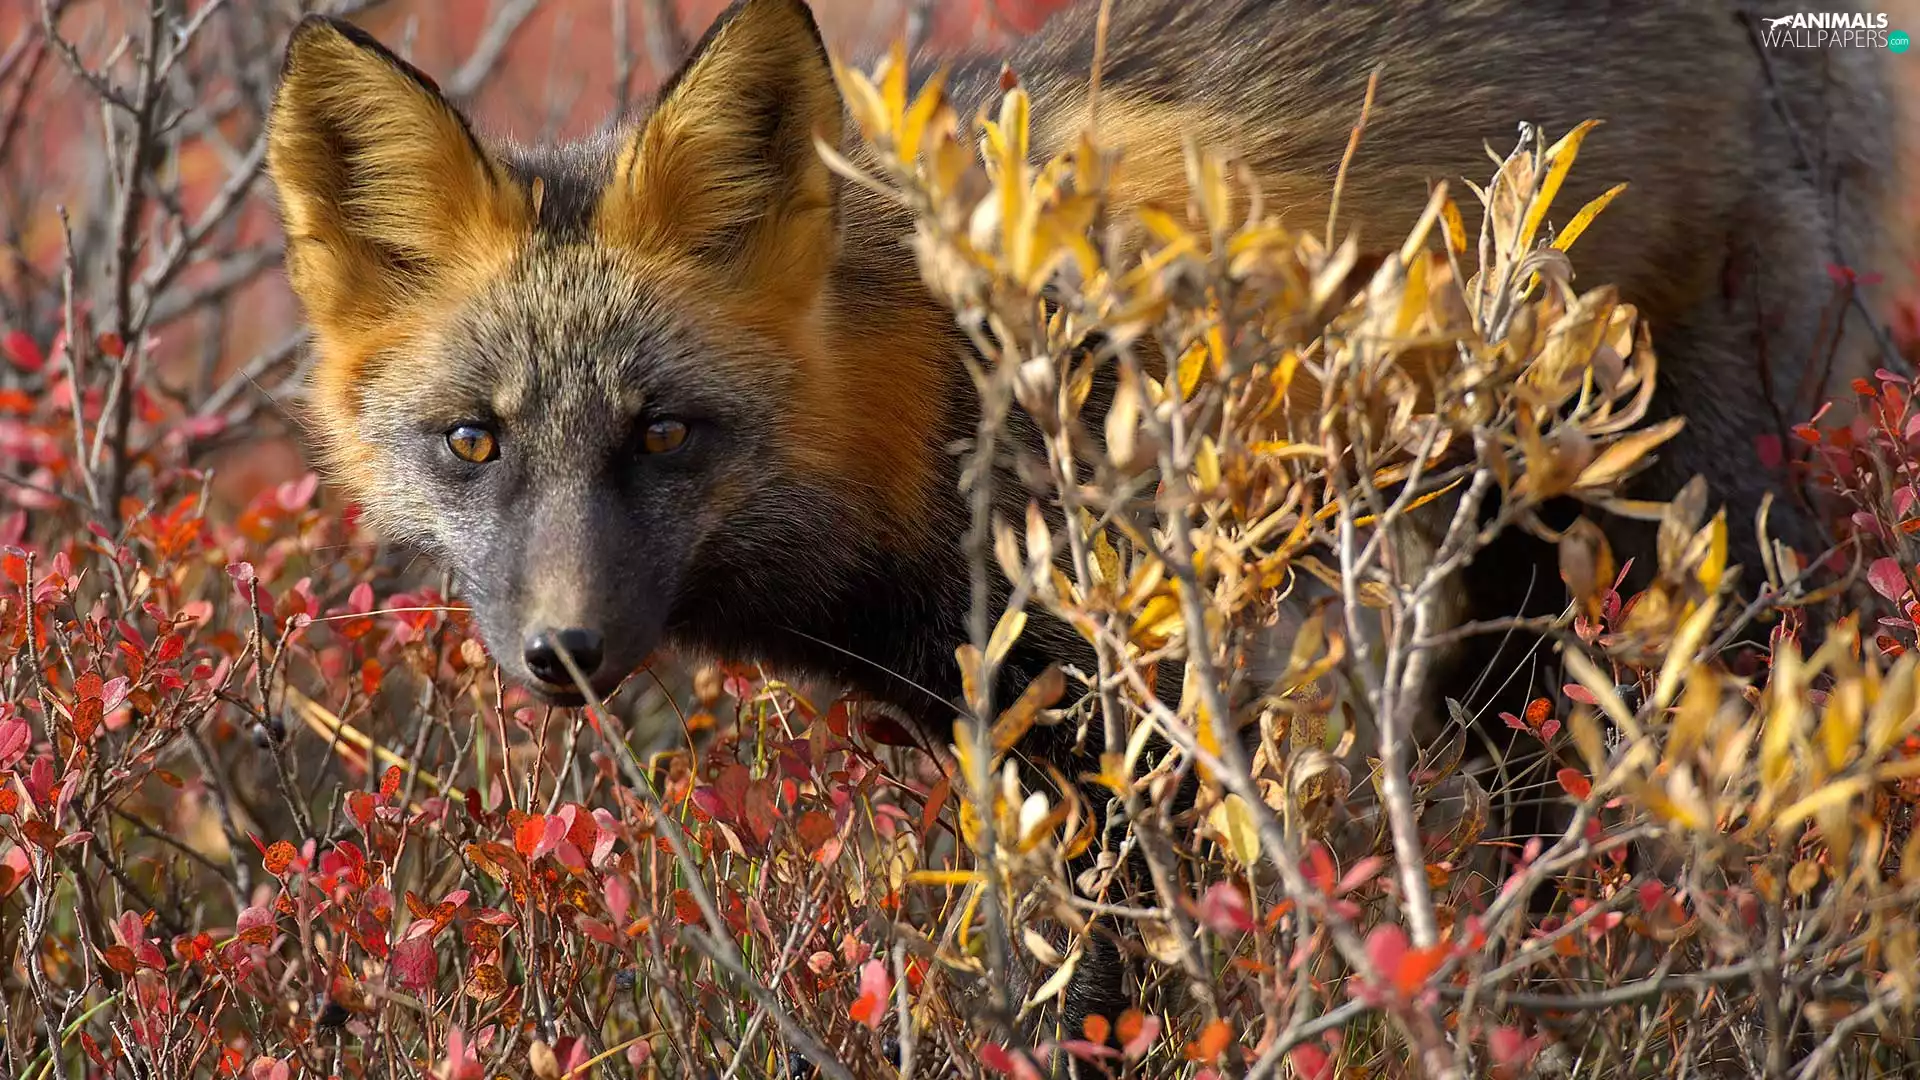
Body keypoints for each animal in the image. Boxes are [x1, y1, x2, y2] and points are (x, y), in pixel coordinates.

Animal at [266, 0, 1898, 1033]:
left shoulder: (1138, 722)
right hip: (1501, 640)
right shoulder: (1016, 740)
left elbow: (1094, 995)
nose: (566, 654)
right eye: (472, 442)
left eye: (664, 434)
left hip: (1707, 554)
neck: (927, 397)